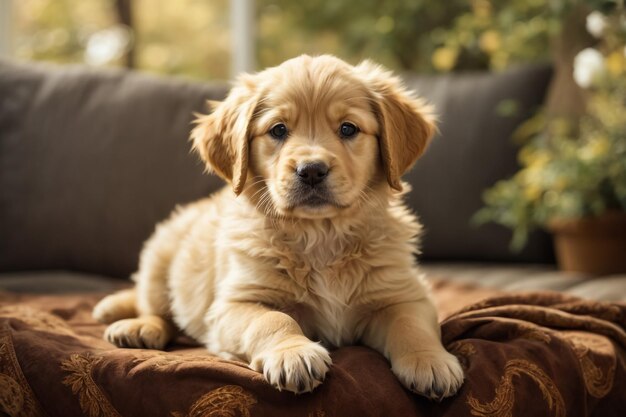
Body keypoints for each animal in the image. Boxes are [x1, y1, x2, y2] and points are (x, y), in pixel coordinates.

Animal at [92, 53, 464, 398]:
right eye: (278, 130)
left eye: (348, 128)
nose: (311, 170)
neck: (321, 234)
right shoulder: (233, 305)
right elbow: (272, 319)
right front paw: (293, 353)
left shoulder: (402, 294)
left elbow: (410, 324)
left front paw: (429, 360)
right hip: (160, 257)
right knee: (155, 308)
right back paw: (140, 328)